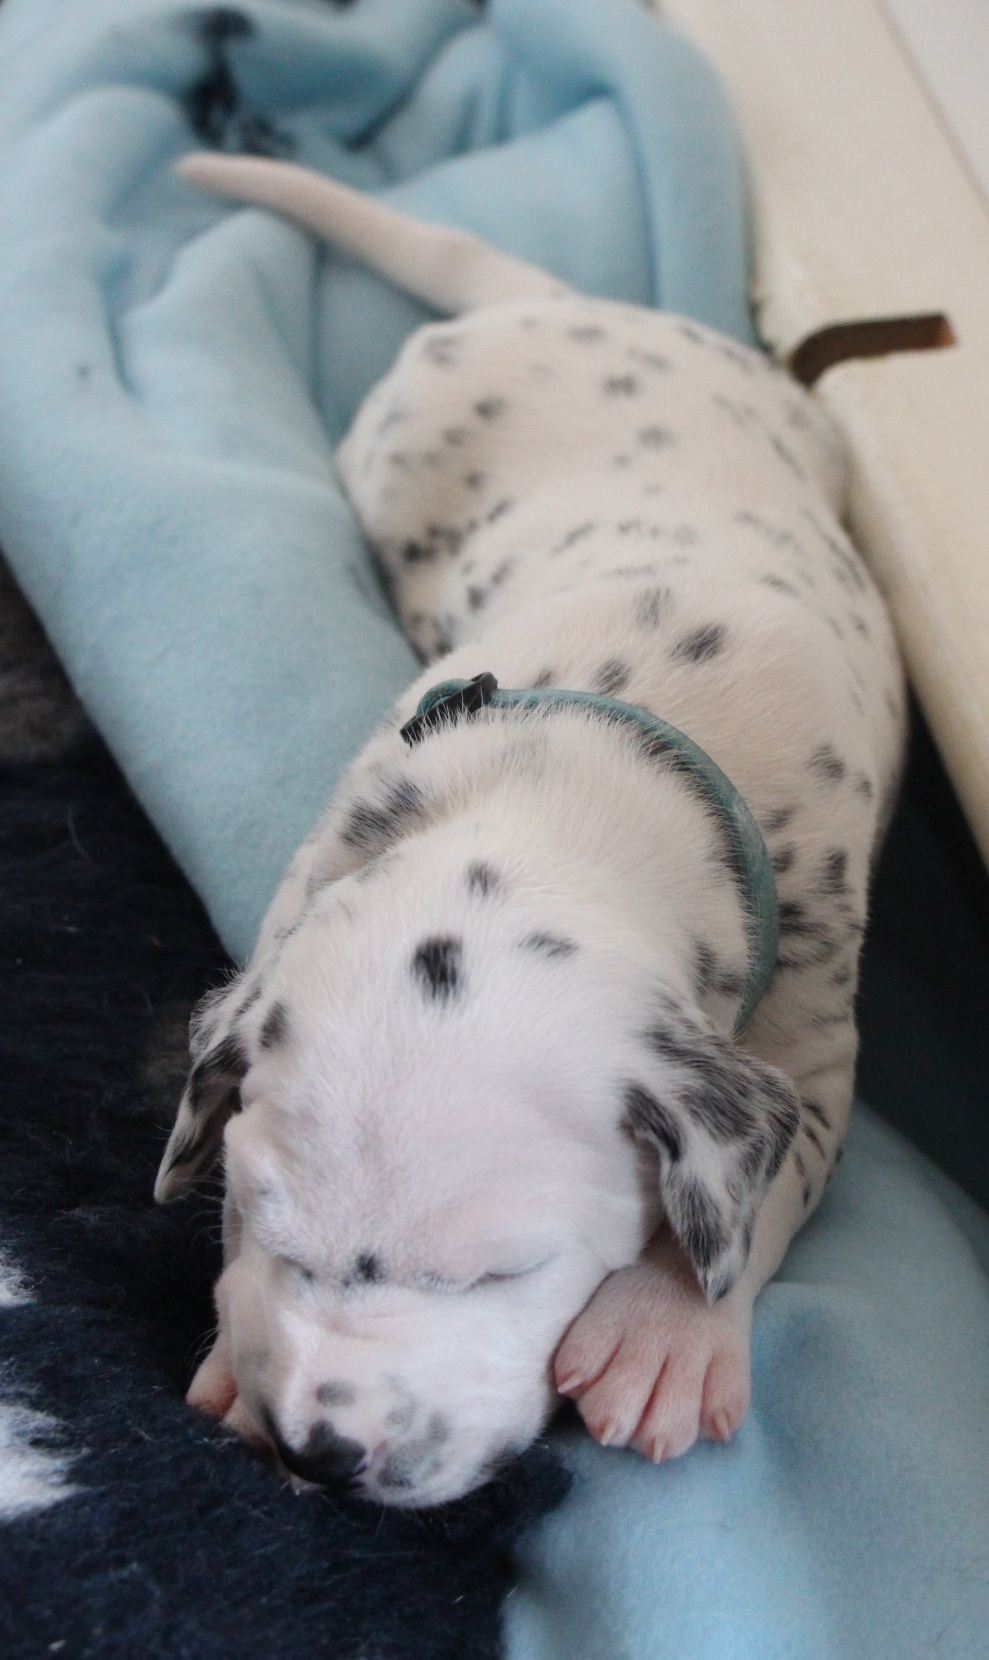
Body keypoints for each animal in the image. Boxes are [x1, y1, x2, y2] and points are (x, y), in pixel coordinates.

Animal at [154, 155, 906, 1507]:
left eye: (500, 1272)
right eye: (257, 1213)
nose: (323, 1451)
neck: (594, 782)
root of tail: (551, 305)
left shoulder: (813, 1045)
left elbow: (763, 1189)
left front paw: (666, 1330)